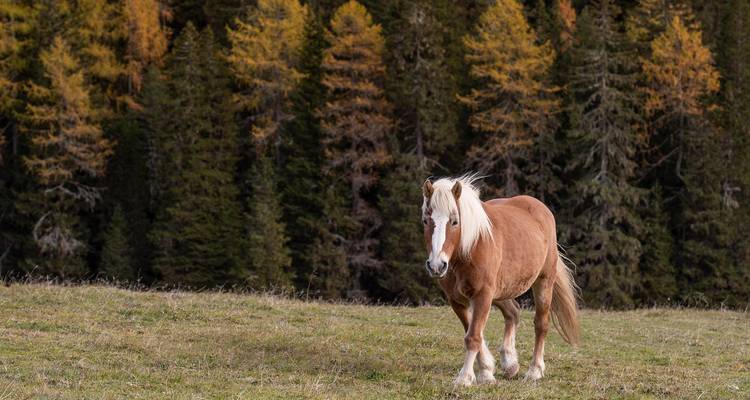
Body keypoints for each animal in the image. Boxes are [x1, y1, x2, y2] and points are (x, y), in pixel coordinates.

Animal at [421, 174, 580, 386]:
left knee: (541, 324)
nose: (437, 265)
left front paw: (464, 378)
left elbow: (473, 336)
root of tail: (541, 208)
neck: (471, 247)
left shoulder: (482, 295)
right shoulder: (457, 300)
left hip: (543, 282)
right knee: (513, 313)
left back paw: (534, 371)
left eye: (454, 222)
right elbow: (474, 332)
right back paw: (510, 363)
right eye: (426, 221)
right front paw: (486, 371)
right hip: (501, 291)